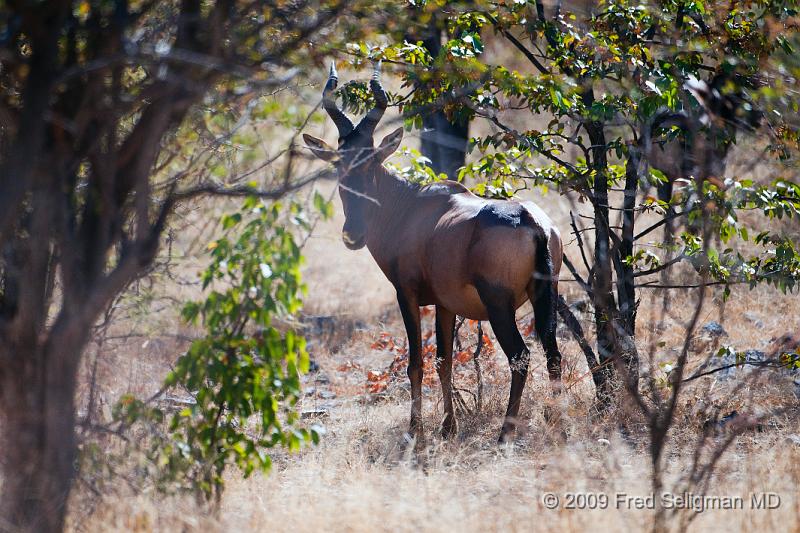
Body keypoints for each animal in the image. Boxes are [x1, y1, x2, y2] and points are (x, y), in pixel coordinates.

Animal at [304, 63, 564, 440]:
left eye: (371, 164)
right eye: (340, 165)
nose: (352, 235)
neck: (410, 206)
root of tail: (532, 221)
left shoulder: (407, 294)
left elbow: (416, 362)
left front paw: (416, 430)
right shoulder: (445, 303)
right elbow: (443, 360)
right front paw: (447, 427)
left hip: (499, 305)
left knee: (521, 356)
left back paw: (505, 434)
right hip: (547, 294)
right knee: (553, 353)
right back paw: (559, 424)